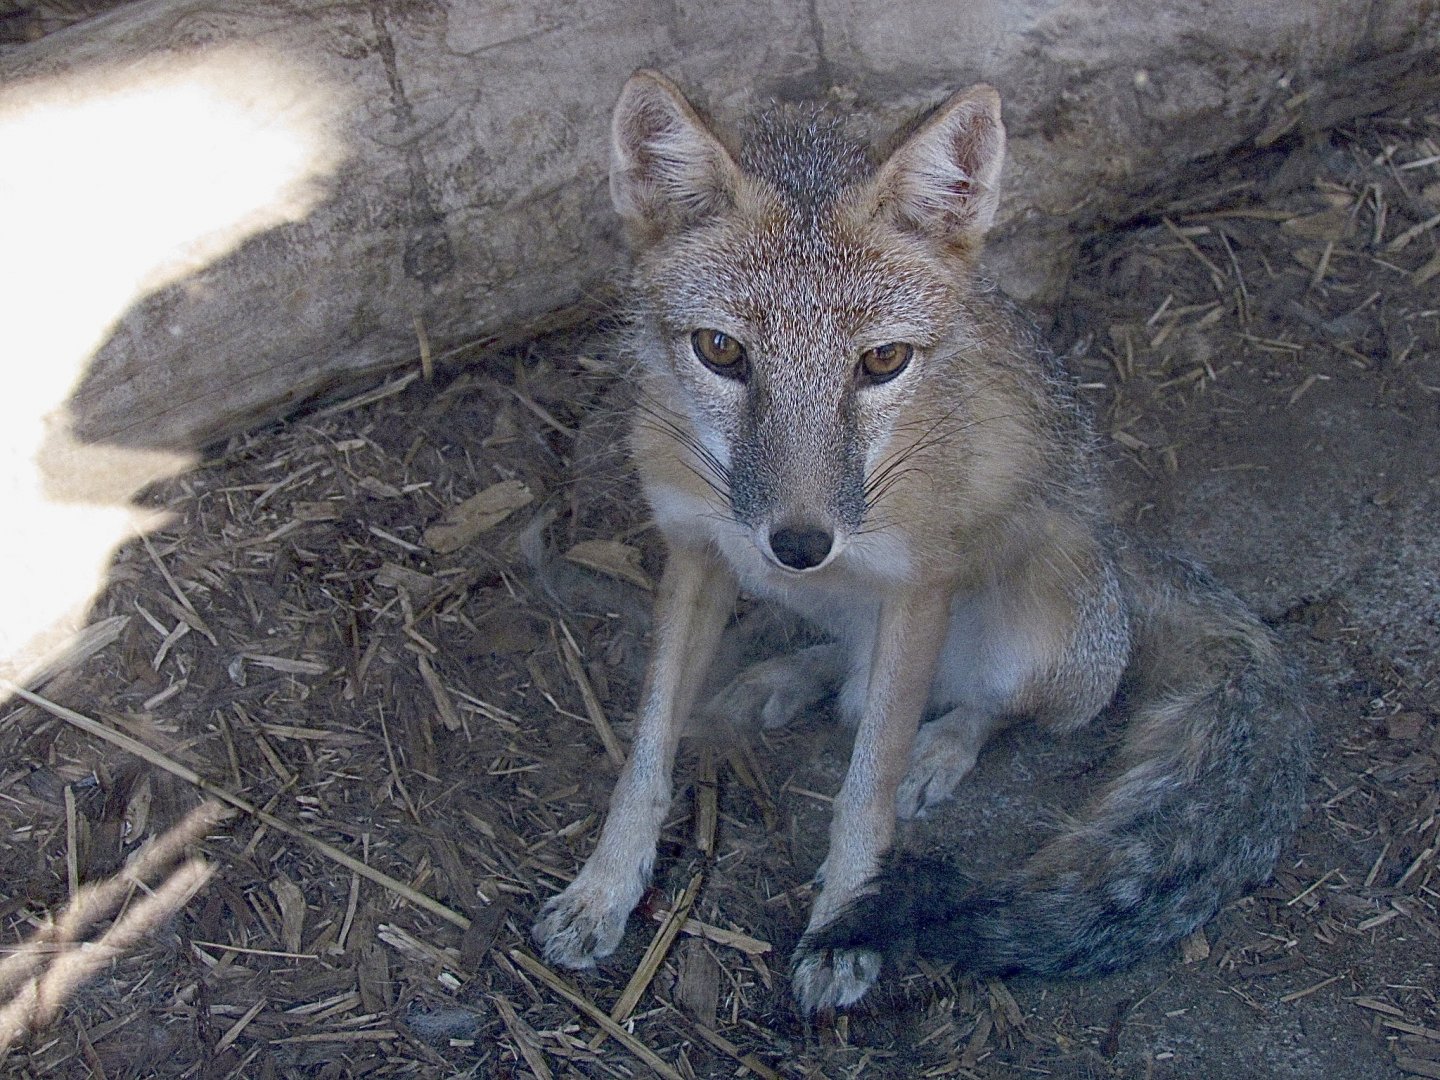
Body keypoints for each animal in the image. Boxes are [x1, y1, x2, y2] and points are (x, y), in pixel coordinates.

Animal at [531, 69, 1310, 1013]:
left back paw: (937, 750)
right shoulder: (699, 553)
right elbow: (646, 752)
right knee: (852, 669)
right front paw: (605, 886)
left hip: (1041, 636)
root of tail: (1111, 540)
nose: (800, 544)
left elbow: (866, 786)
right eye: (720, 351)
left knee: (988, 708)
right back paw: (784, 679)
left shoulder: (919, 585)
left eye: (883, 362)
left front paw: (844, 925)